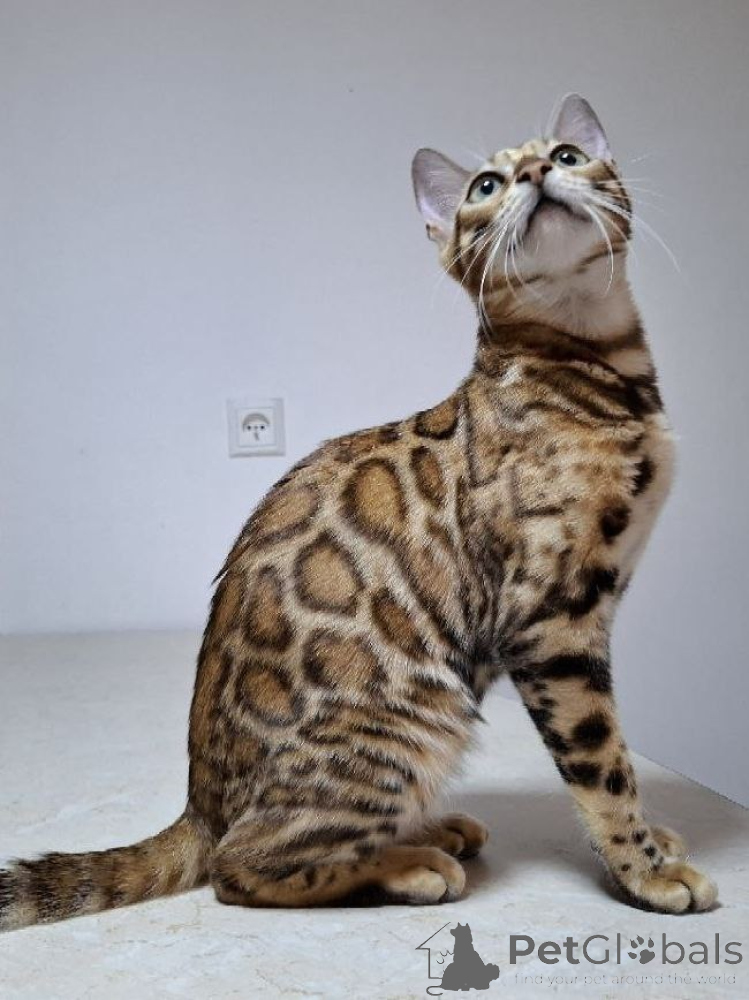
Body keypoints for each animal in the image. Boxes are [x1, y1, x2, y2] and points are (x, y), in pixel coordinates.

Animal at [0, 94, 717, 931]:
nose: (537, 173)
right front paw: (644, 873)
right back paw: (408, 865)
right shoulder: (552, 621)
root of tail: (198, 807)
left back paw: (430, 830)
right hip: (417, 721)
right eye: (483, 185)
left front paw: (652, 848)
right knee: (239, 868)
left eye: (569, 155)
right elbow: (602, 765)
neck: (591, 362)